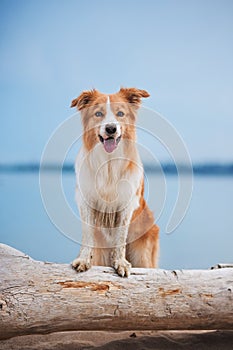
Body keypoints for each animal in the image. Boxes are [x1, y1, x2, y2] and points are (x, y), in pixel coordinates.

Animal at [70, 89, 159, 278]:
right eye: (98, 114)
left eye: (120, 114)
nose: (111, 128)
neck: (108, 162)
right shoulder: (85, 200)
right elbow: (87, 233)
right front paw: (83, 259)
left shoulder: (127, 203)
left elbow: (120, 236)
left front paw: (120, 262)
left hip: (143, 253)